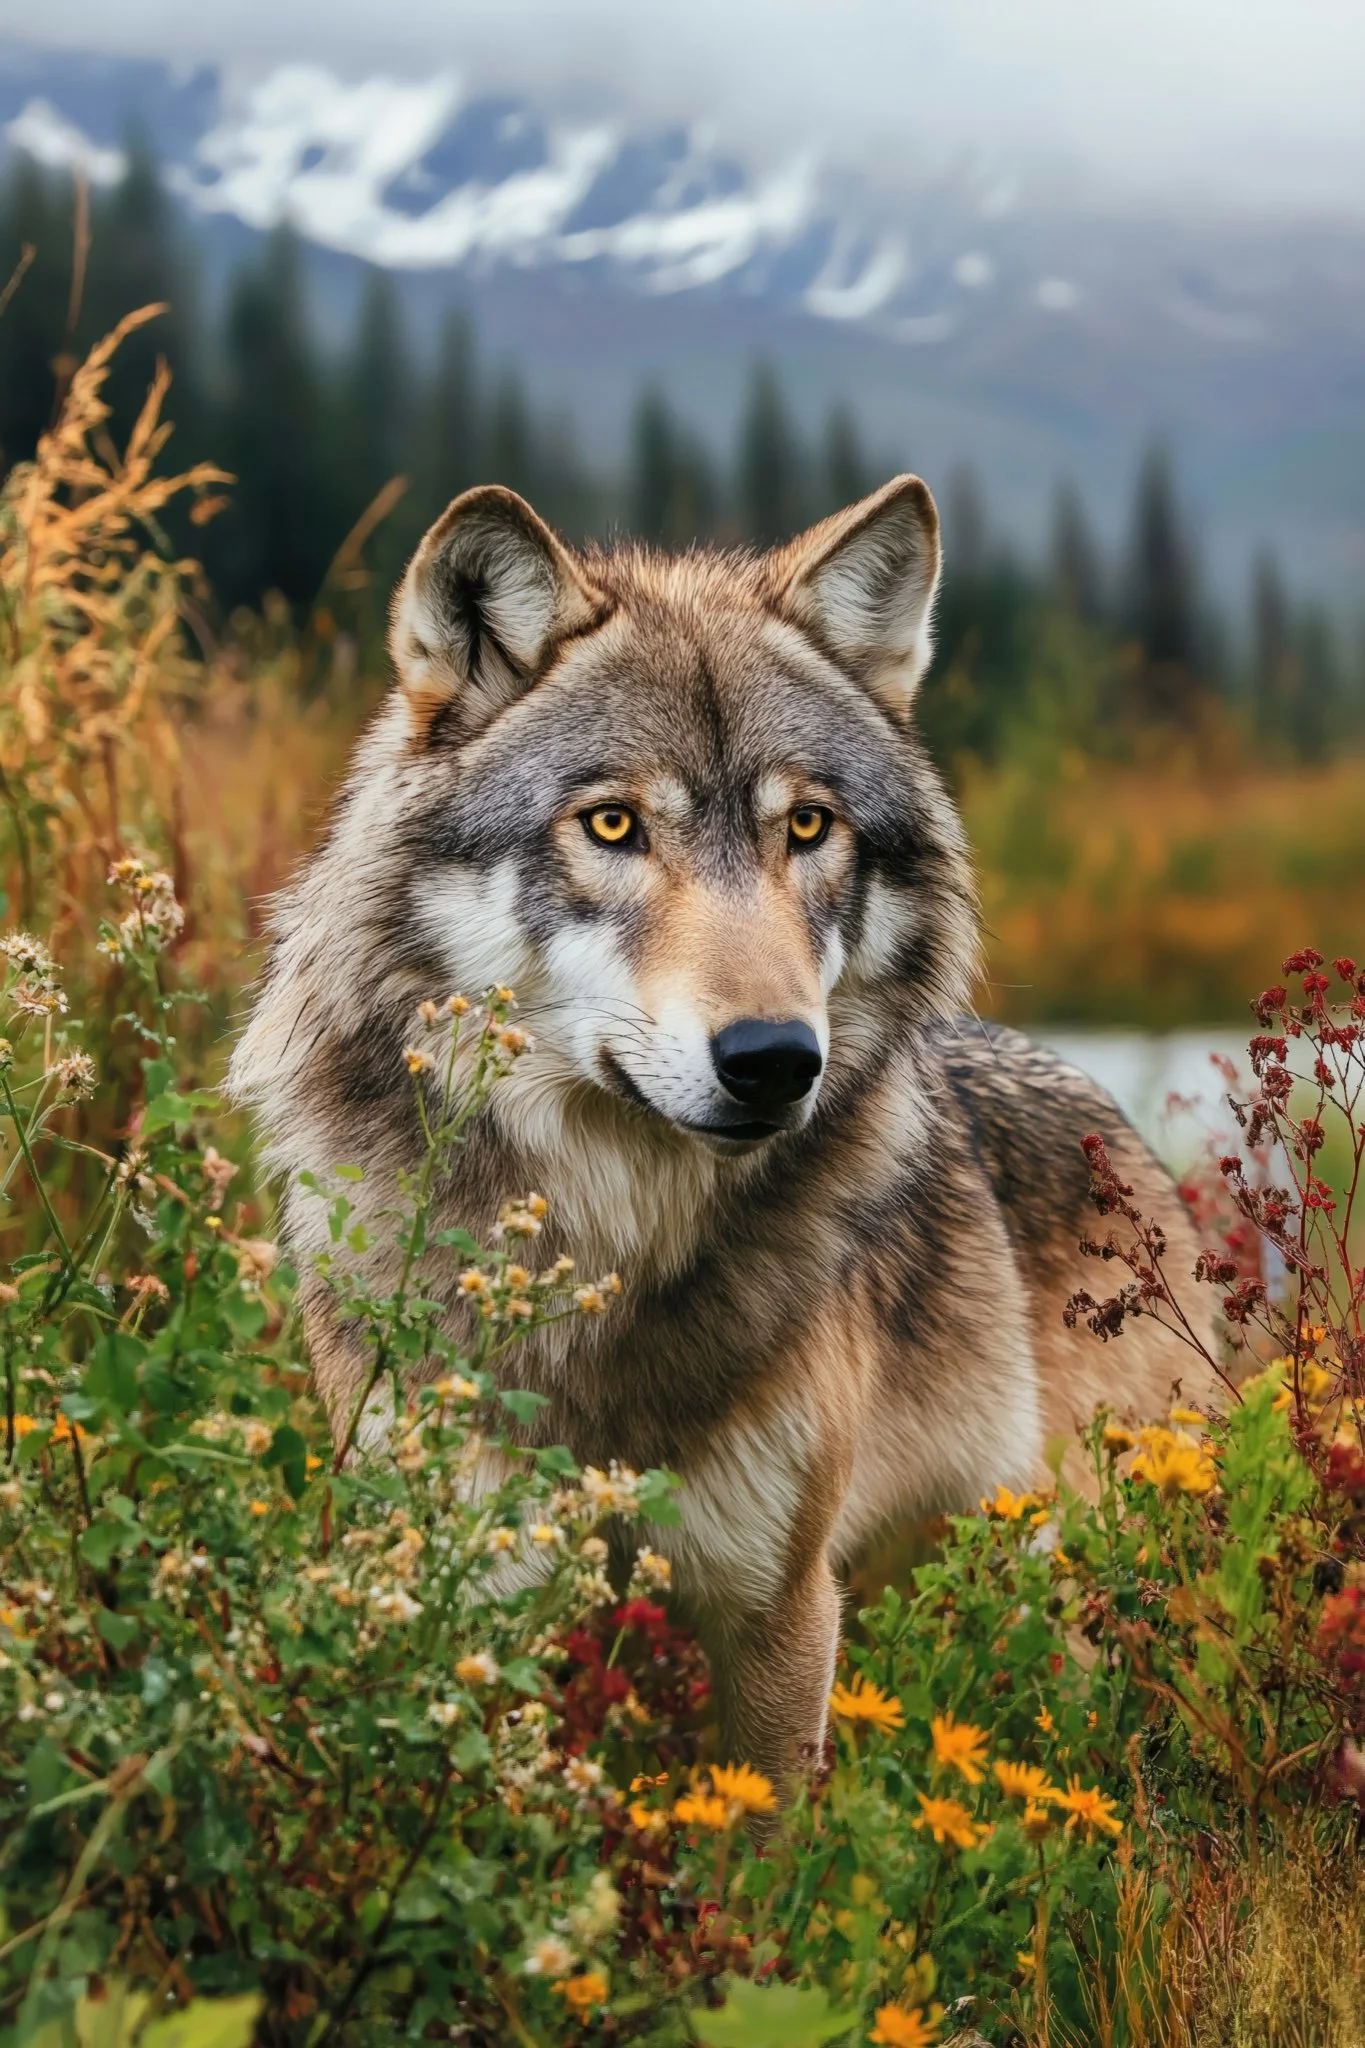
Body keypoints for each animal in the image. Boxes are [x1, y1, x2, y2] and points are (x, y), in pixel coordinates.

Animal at [231, 475, 1220, 1785]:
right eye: (611, 825)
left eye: (806, 826)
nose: (775, 1059)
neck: (608, 1258)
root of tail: (1124, 1134)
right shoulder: (471, 1592)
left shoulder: (775, 1606)